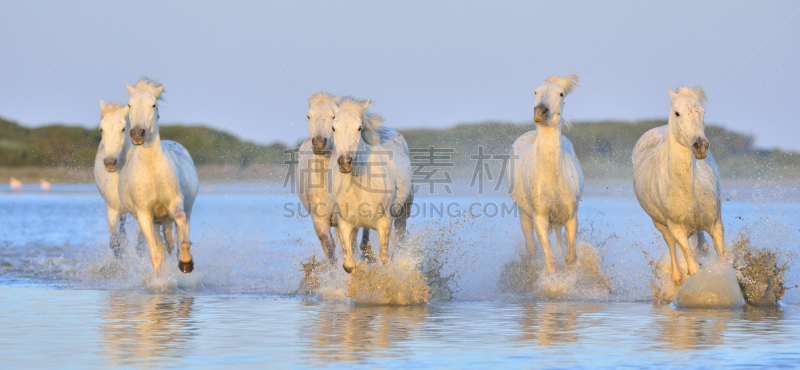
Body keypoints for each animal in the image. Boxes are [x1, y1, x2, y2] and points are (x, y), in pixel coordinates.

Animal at [119, 78, 200, 274]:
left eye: (153, 104)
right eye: (129, 104)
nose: (137, 133)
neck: (152, 171)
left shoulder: (175, 203)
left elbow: (181, 225)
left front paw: (186, 262)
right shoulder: (145, 215)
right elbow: (156, 256)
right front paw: (160, 280)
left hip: (184, 211)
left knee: (181, 232)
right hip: (155, 223)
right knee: (162, 249)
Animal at [296, 94, 372, 264]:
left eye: (332, 117)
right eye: (309, 116)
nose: (319, 142)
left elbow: (351, 246)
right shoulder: (320, 221)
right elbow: (330, 252)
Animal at [326, 97, 412, 274]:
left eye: (359, 128)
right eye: (333, 127)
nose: (345, 162)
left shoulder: (384, 221)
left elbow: (384, 261)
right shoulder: (345, 223)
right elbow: (349, 265)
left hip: (403, 210)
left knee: (400, 236)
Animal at [510, 74, 584, 272]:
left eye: (561, 93)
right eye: (536, 91)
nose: (540, 113)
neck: (552, 177)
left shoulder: (570, 217)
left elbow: (570, 258)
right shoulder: (540, 217)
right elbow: (550, 260)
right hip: (524, 214)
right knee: (531, 246)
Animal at [636, 85, 724, 282]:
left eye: (702, 112)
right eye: (677, 113)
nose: (700, 146)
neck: (687, 188)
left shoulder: (716, 223)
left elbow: (725, 261)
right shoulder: (676, 230)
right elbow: (692, 267)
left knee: (701, 241)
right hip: (661, 225)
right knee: (672, 250)